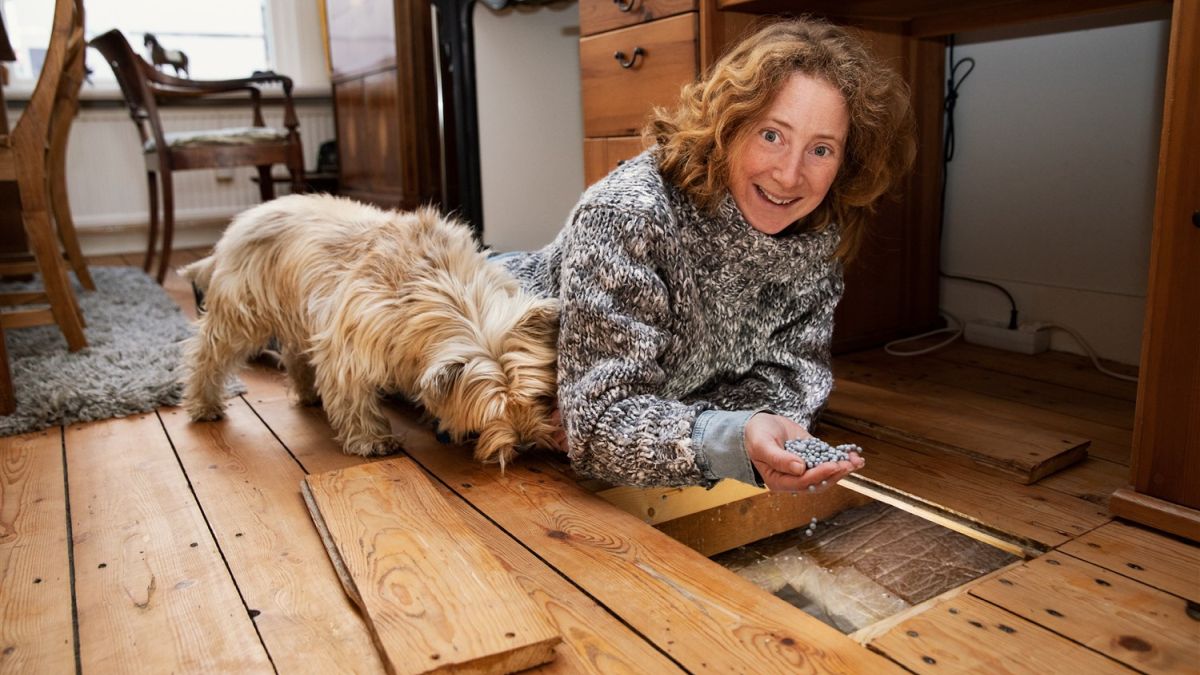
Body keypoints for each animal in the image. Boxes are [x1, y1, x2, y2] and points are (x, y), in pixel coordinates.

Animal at [178, 194, 561, 461]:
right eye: (490, 413)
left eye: (539, 397)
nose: (525, 445)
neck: (449, 294)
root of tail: (240, 223)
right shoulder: (348, 343)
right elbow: (351, 394)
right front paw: (371, 440)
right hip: (241, 313)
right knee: (207, 354)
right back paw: (203, 404)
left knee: (294, 352)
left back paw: (307, 392)